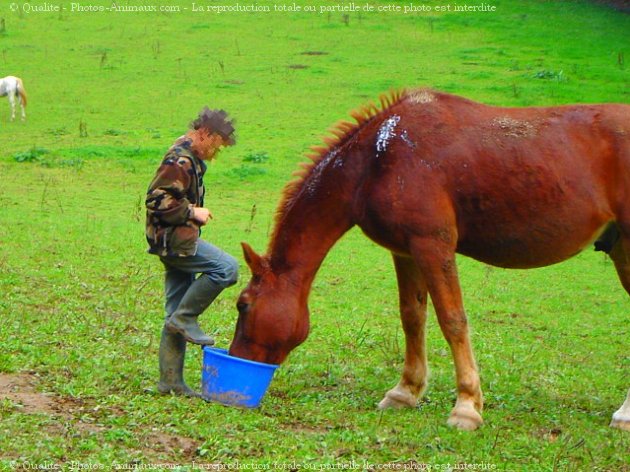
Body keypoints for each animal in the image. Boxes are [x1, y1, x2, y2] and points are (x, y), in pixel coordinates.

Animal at [231, 89, 630, 432]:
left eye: (243, 305)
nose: (236, 358)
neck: (375, 160)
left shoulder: (433, 245)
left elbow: (452, 320)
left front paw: (466, 407)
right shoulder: (405, 251)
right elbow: (412, 317)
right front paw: (404, 392)